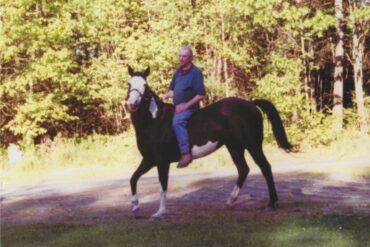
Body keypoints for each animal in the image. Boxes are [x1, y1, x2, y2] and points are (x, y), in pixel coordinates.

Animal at [125, 66, 294, 219]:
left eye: (145, 86)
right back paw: (231, 200)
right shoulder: (149, 160)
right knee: (243, 169)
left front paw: (159, 212)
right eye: (129, 84)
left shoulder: (162, 162)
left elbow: (163, 187)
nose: (132, 104)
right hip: (235, 147)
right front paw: (135, 206)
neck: (154, 121)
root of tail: (251, 104)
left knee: (265, 167)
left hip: (253, 145)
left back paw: (272, 203)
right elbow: (133, 178)